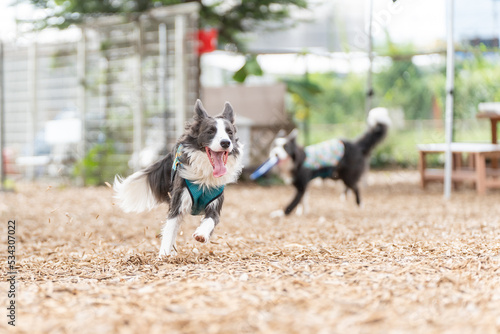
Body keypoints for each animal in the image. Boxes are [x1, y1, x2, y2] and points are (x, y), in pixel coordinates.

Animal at [115, 100, 244, 258]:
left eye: (229, 132)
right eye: (210, 131)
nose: (226, 142)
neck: (205, 175)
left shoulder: (215, 203)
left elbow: (210, 220)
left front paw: (201, 234)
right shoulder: (178, 202)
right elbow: (170, 227)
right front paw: (164, 254)